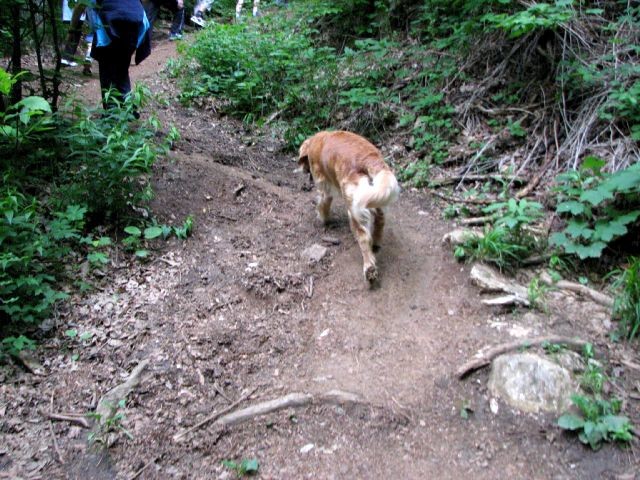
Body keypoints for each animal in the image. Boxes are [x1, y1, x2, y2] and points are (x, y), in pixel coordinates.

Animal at [298, 129, 398, 284]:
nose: (303, 170)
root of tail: (369, 159)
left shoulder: (324, 187)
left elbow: (323, 204)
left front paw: (323, 219)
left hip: (354, 208)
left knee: (364, 237)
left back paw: (369, 268)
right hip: (376, 200)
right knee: (380, 222)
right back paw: (376, 243)